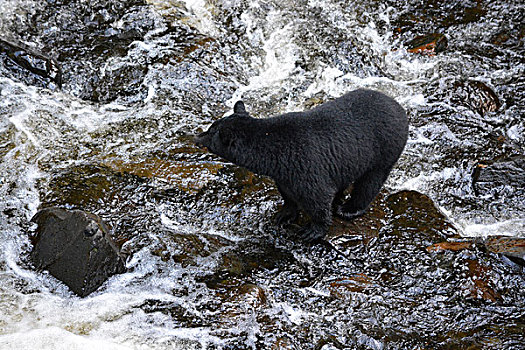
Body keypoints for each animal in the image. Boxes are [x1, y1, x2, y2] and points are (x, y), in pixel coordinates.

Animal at [194, 89, 408, 242]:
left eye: (210, 132)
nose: (197, 136)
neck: (271, 149)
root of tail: (398, 106)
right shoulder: (284, 172)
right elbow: (288, 193)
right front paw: (284, 215)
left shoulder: (304, 163)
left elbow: (317, 196)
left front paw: (313, 231)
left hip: (384, 149)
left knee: (370, 181)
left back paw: (349, 208)